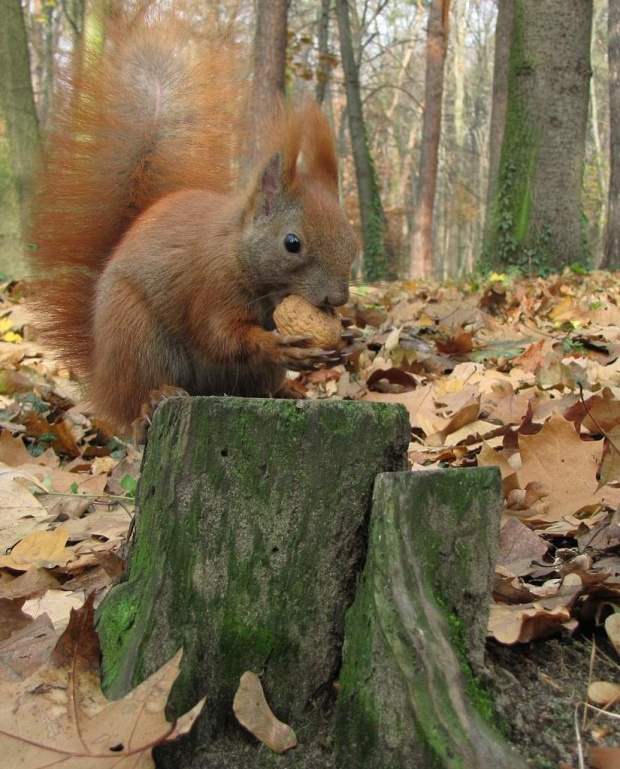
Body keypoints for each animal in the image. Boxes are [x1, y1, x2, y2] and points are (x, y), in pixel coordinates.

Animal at [30, 12, 358, 436]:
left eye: (353, 243)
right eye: (292, 243)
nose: (337, 299)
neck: (237, 254)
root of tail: (103, 380)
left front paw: (347, 335)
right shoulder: (208, 287)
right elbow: (220, 336)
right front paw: (278, 345)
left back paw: (284, 392)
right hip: (136, 336)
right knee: (139, 396)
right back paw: (152, 401)